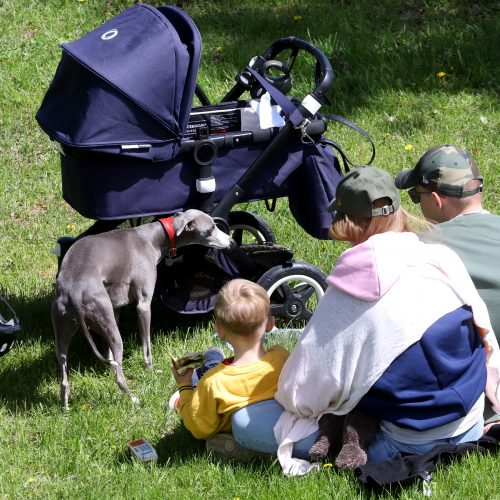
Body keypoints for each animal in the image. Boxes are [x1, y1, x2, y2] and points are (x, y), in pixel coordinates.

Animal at [52, 209, 232, 408]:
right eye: (210, 229)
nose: (231, 242)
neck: (152, 237)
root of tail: (74, 290)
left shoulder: (116, 306)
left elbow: (111, 355)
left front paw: (111, 367)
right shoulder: (144, 305)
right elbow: (146, 346)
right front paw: (151, 370)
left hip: (64, 330)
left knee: (64, 378)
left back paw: (65, 407)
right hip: (109, 326)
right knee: (120, 378)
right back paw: (133, 399)